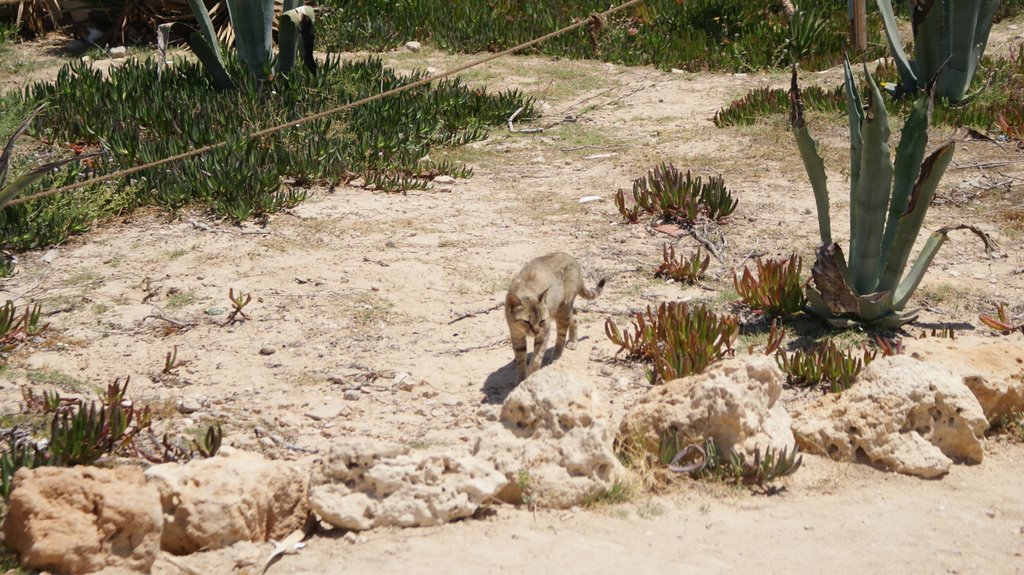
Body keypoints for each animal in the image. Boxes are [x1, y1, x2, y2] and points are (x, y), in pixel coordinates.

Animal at [501, 250, 602, 380]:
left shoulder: (544, 331)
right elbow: (520, 360)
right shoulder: (516, 335)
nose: (536, 332)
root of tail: (572, 259)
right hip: (559, 309)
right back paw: (573, 341)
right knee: (574, 314)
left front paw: (531, 375)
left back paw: (557, 356)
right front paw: (521, 379)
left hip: (562, 310)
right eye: (526, 322)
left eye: (541, 321)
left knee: (561, 336)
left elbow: (536, 359)